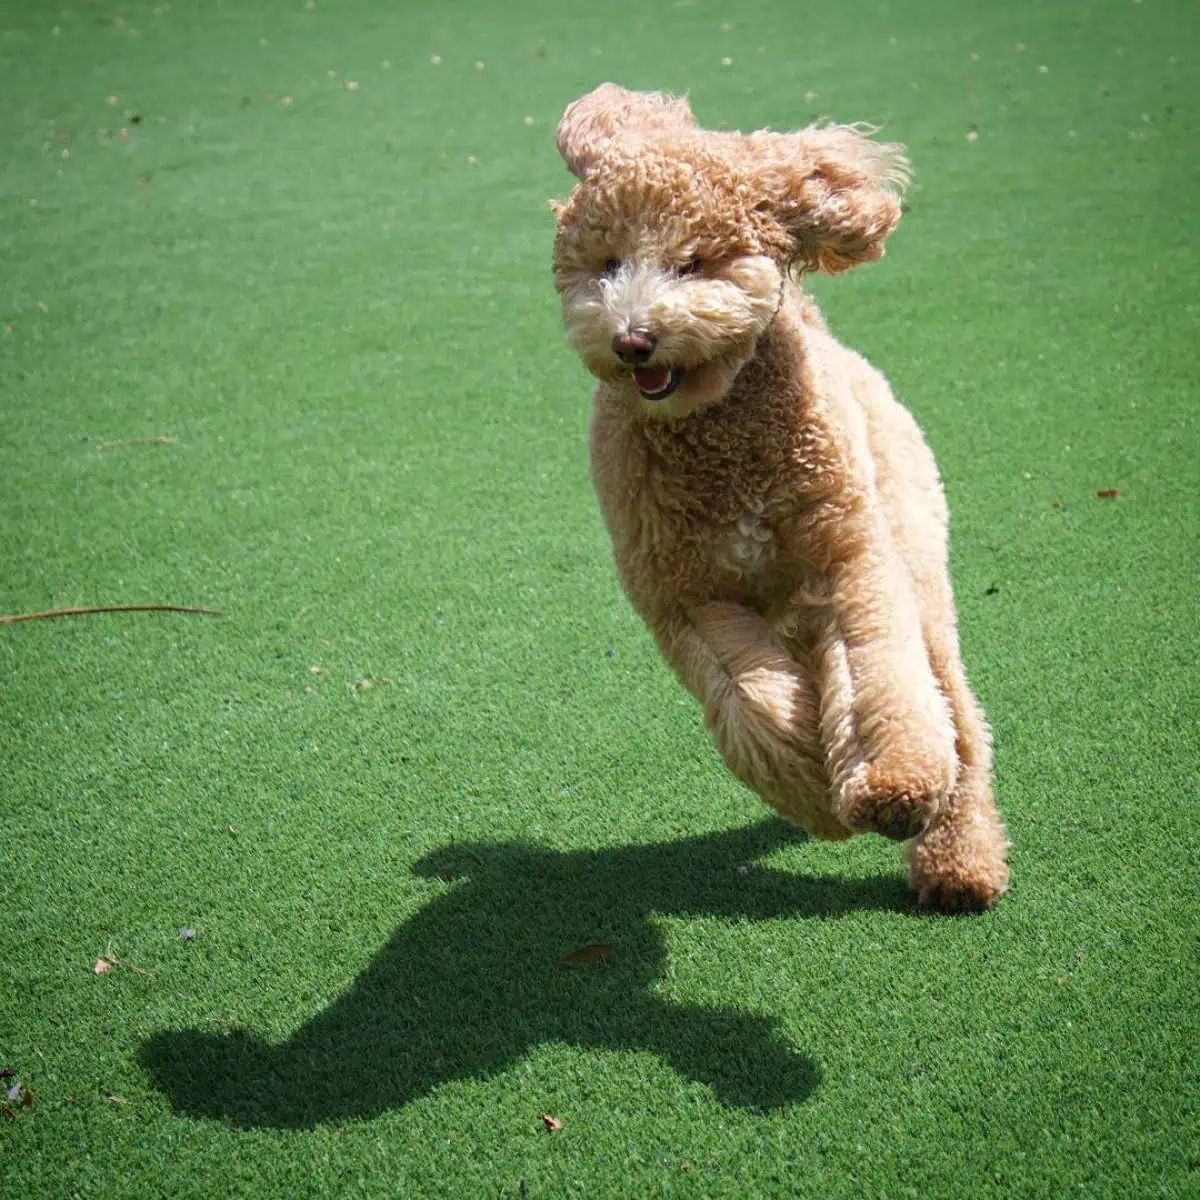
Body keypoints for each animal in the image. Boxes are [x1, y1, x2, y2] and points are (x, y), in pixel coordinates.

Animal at [549, 84, 1008, 907]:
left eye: (693, 262)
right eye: (607, 264)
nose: (632, 340)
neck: (722, 427)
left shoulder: (847, 561)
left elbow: (879, 677)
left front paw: (891, 785)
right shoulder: (688, 596)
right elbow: (756, 700)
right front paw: (818, 792)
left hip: (915, 556)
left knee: (954, 711)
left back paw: (961, 863)